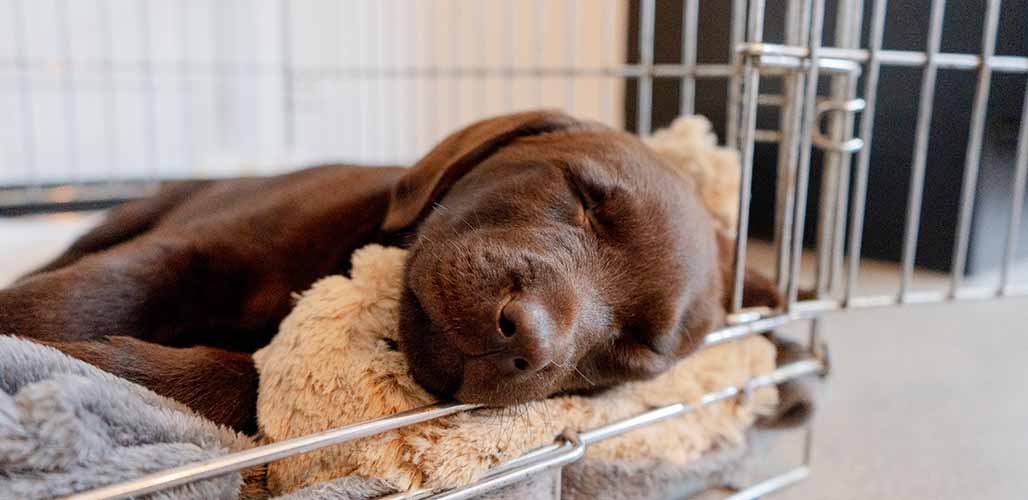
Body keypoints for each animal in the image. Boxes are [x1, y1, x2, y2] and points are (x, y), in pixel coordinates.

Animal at [0, 110, 777, 434]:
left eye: (635, 350)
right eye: (585, 199)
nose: (528, 339)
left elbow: (242, 380)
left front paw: (112, 367)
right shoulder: (194, 251)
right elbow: (81, 295)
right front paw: (23, 337)